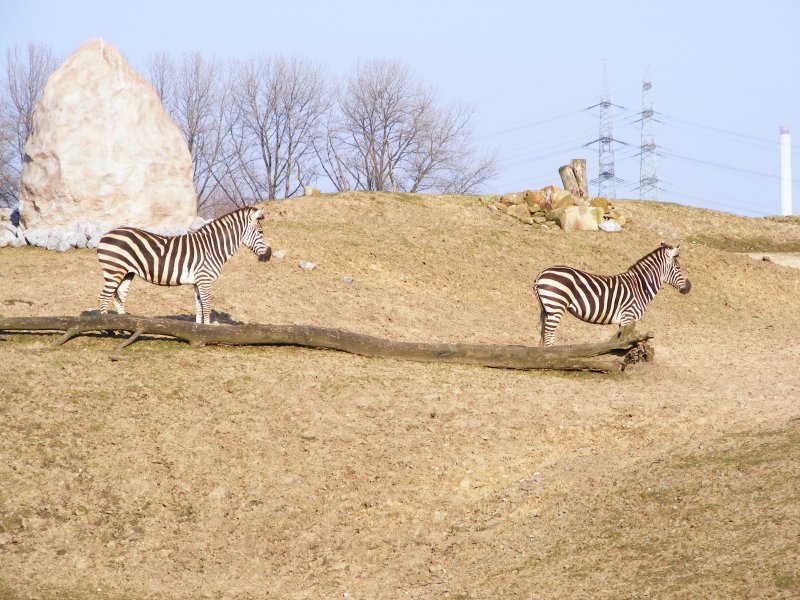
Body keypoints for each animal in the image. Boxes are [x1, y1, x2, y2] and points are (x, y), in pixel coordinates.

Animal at [95, 204, 272, 324]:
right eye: (260, 232)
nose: (269, 255)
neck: (212, 247)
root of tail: (105, 235)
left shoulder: (198, 282)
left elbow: (199, 307)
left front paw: (199, 329)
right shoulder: (205, 280)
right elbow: (207, 307)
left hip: (127, 273)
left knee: (119, 298)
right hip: (114, 271)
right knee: (103, 298)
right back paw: (108, 329)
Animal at [536, 244, 692, 346]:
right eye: (678, 267)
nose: (689, 287)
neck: (640, 286)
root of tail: (541, 273)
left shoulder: (625, 321)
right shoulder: (628, 317)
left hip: (546, 309)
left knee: (544, 334)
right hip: (556, 305)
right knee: (548, 335)